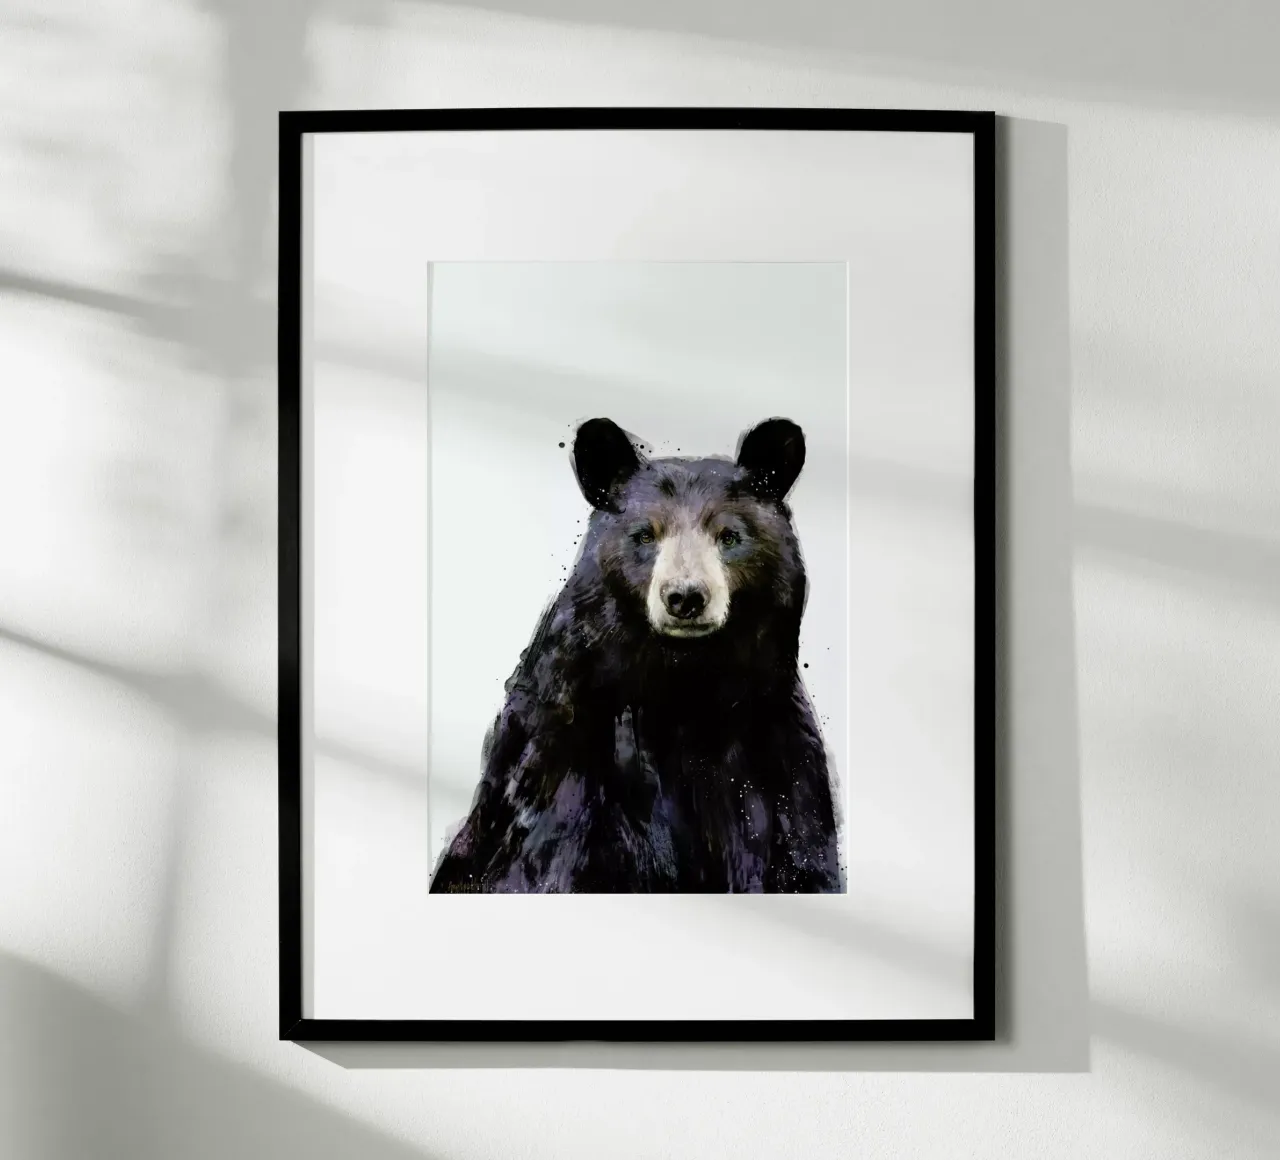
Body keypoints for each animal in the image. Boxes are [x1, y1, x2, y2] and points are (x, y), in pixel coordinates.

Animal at [428, 416, 844, 894]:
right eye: (645, 534)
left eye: (729, 536)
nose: (685, 597)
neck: (683, 685)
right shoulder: (567, 758)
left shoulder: (777, 757)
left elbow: (800, 854)